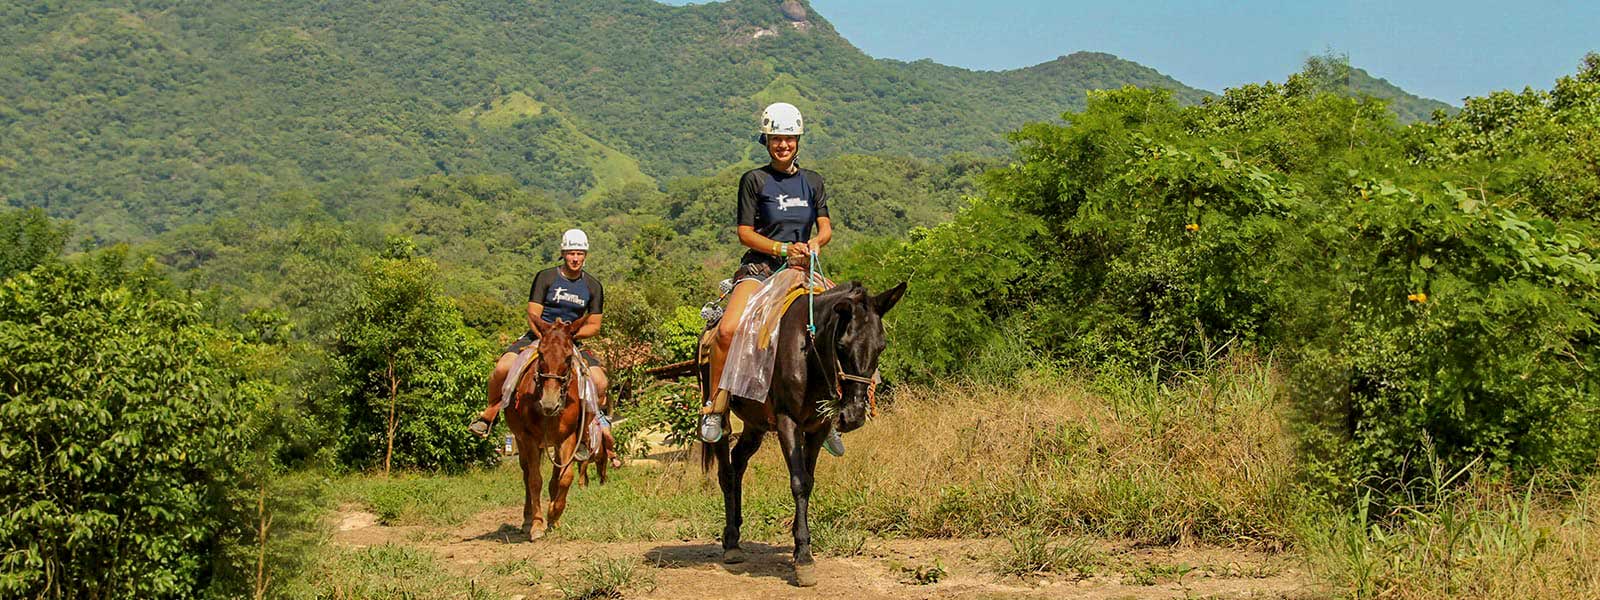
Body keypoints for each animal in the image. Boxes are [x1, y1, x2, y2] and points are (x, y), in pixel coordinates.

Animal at [502, 316, 601, 544]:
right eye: (540, 354)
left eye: (568, 357)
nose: (549, 403)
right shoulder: (529, 439)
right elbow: (534, 480)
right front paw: (537, 524)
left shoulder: (567, 439)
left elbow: (565, 478)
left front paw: (554, 514)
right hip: (522, 440)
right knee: (527, 475)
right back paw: (528, 520)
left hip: (553, 444)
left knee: (555, 478)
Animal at [697, 281, 908, 588]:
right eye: (842, 346)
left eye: (881, 346)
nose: (853, 416)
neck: (809, 354)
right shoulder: (788, 422)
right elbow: (798, 482)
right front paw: (805, 559)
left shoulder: (818, 427)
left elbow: (809, 482)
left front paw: (800, 551)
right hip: (723, 415)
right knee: (726, 471)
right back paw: (732, 544)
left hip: (756, 425)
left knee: (738, 465)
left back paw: (733, 534)